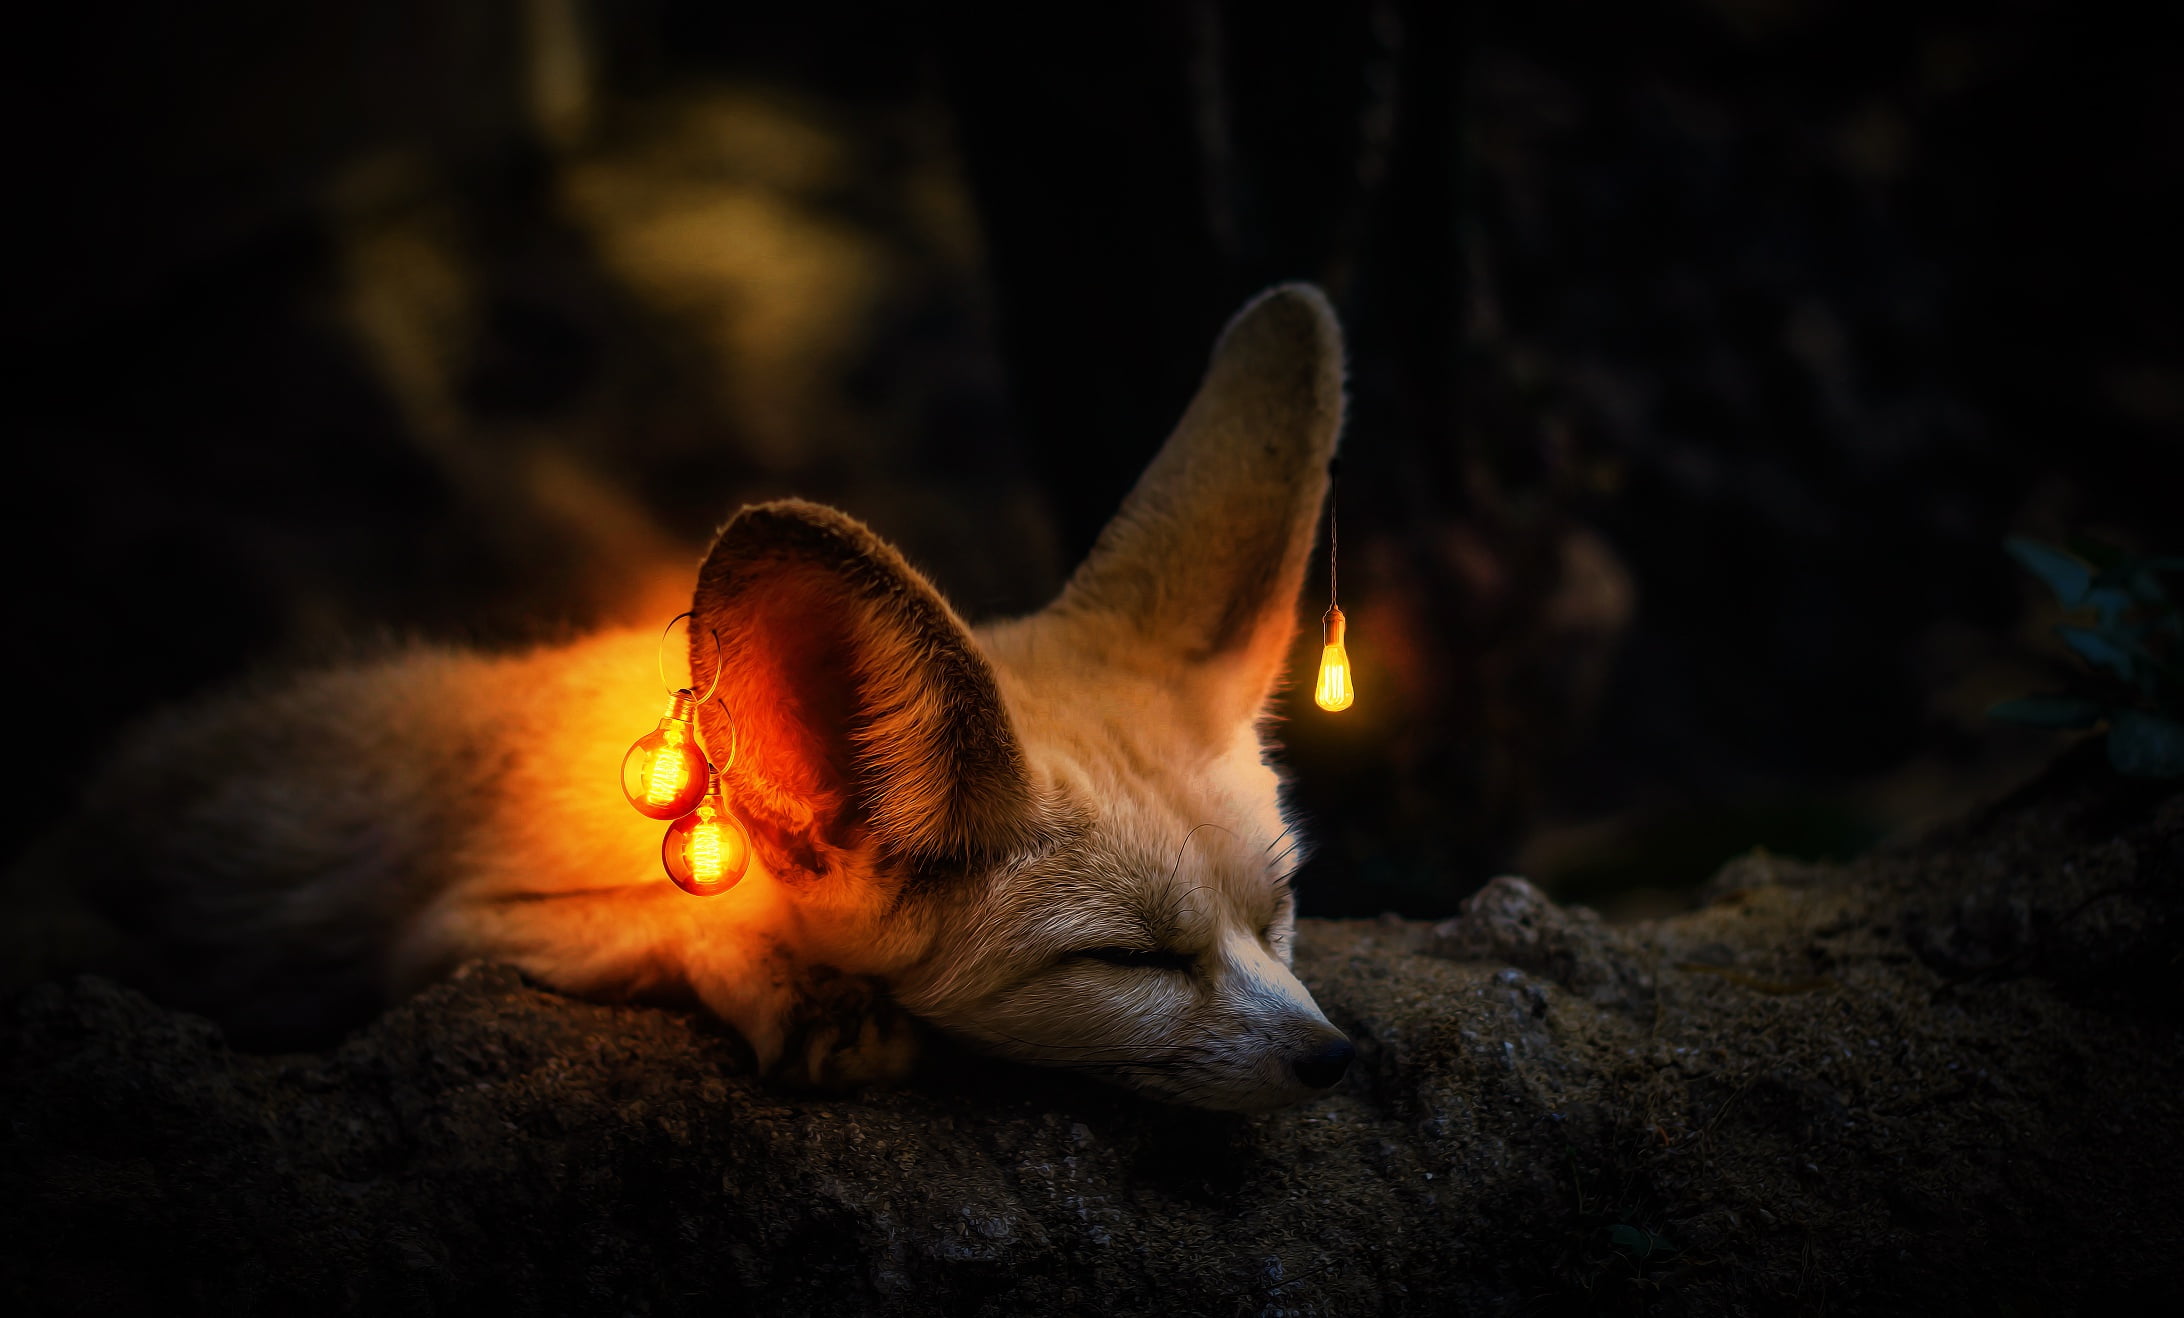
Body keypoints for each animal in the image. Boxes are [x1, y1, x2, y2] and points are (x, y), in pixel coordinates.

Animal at [19, 284, 1355, 1111]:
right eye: (1127, 961)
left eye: (1283, 908)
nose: (1337, 1060)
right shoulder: (437, 933)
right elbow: (653, 918)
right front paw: (789, 983)